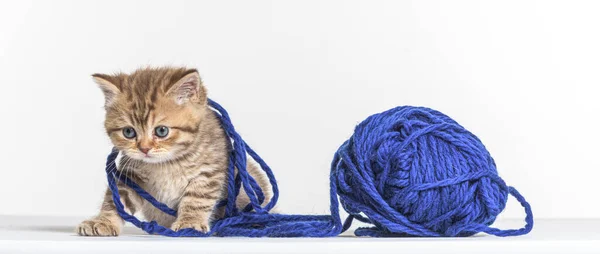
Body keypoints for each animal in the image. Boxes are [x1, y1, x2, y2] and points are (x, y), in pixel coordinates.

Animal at [77, 67, 272, 236]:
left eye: (161, 131)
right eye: (129, 132)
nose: (144, 149)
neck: (168, 163)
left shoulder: (209, 171)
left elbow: (197, 198)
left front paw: (190, 222)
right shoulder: (130, 176)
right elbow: (115, 200)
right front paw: (103, 221)